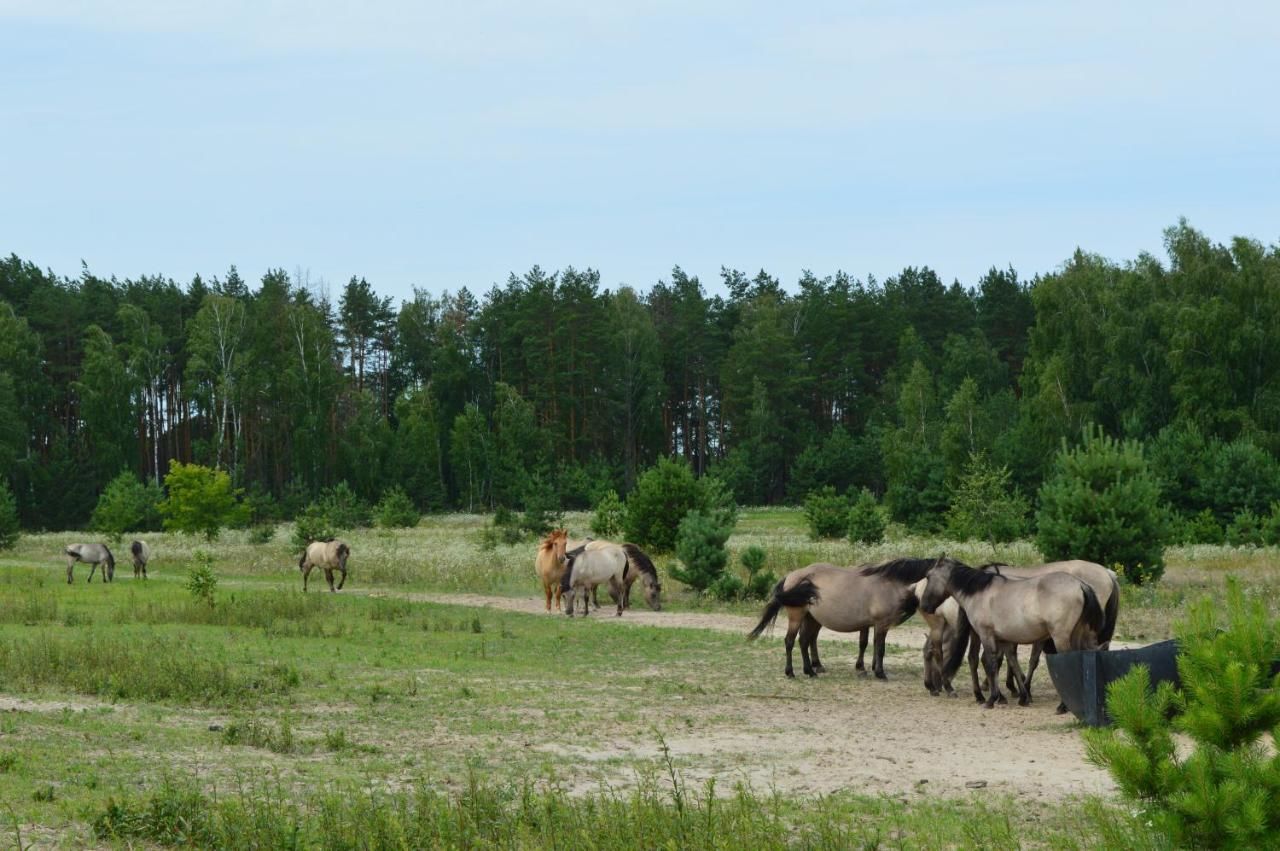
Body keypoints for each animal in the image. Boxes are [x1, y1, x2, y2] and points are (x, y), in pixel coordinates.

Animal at [747, 557, 936, 675]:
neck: (888, 584)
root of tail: (791, 576)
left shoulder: (871, 624)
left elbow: (867, 644)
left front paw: (865, 667)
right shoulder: (881, 623)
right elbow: (880, 648)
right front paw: (879, 672)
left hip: (811, 618)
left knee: (806, 640)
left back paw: (813, 668)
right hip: (797, 617)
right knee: (790, 641)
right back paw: (792, 672)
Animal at [921, 555, 1111, 706]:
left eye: (929, 576)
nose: (924, 606)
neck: (979, 592)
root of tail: (1080, 585)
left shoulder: (986, 634)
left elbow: (991, 664)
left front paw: (993, 699)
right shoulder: (1003, 639)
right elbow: (1009, 662)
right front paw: (1021, 696)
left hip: (1061, 638)